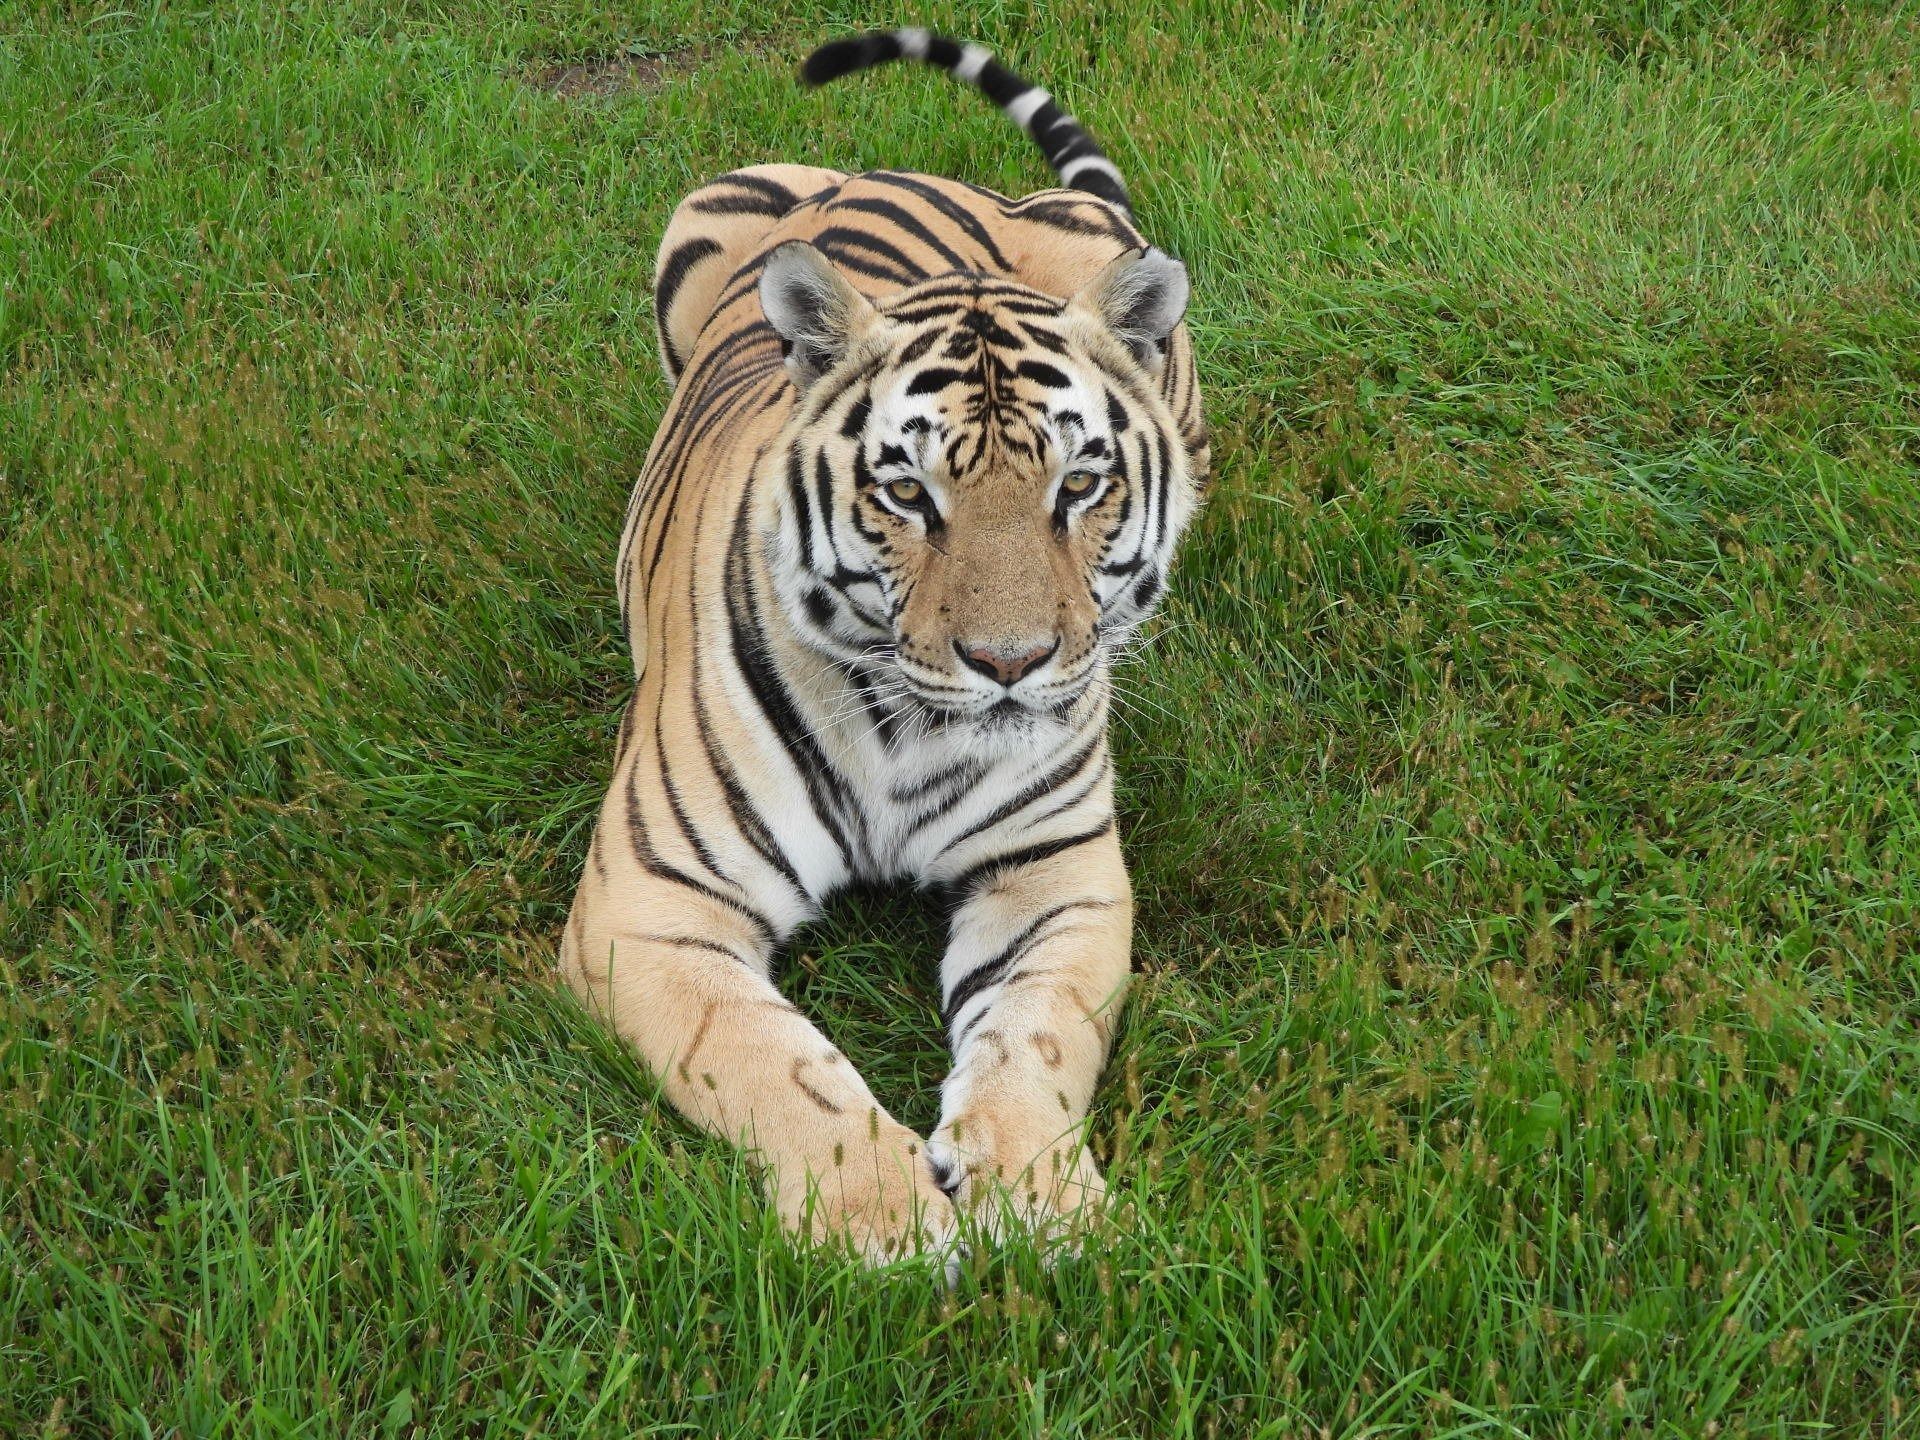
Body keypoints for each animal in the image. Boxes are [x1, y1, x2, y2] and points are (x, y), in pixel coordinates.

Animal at [560, 27, 1207, 1266]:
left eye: (1079, 484)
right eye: (909, 493)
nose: (1011, 664)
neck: (906, 732)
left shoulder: (1058, 874)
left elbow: (1036, 1037)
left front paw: (1041, 1197)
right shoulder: (650, 907)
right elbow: (769, 1059)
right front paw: (886, 1219)